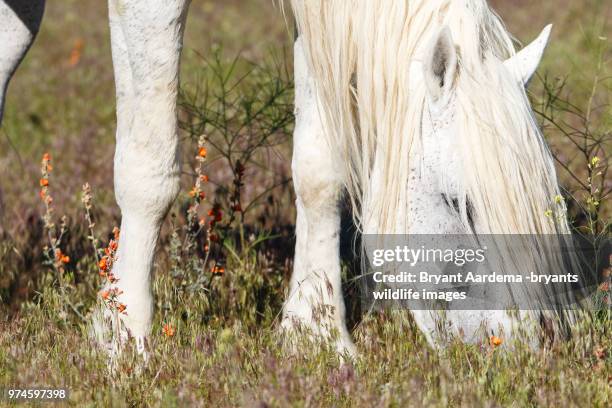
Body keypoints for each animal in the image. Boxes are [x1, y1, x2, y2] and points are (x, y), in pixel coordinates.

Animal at [0, 0, 572, 356]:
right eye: (460, 204)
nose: (517, 348)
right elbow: (149, 168)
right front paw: (122, 336)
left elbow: (320, 169)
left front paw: (315, 333)